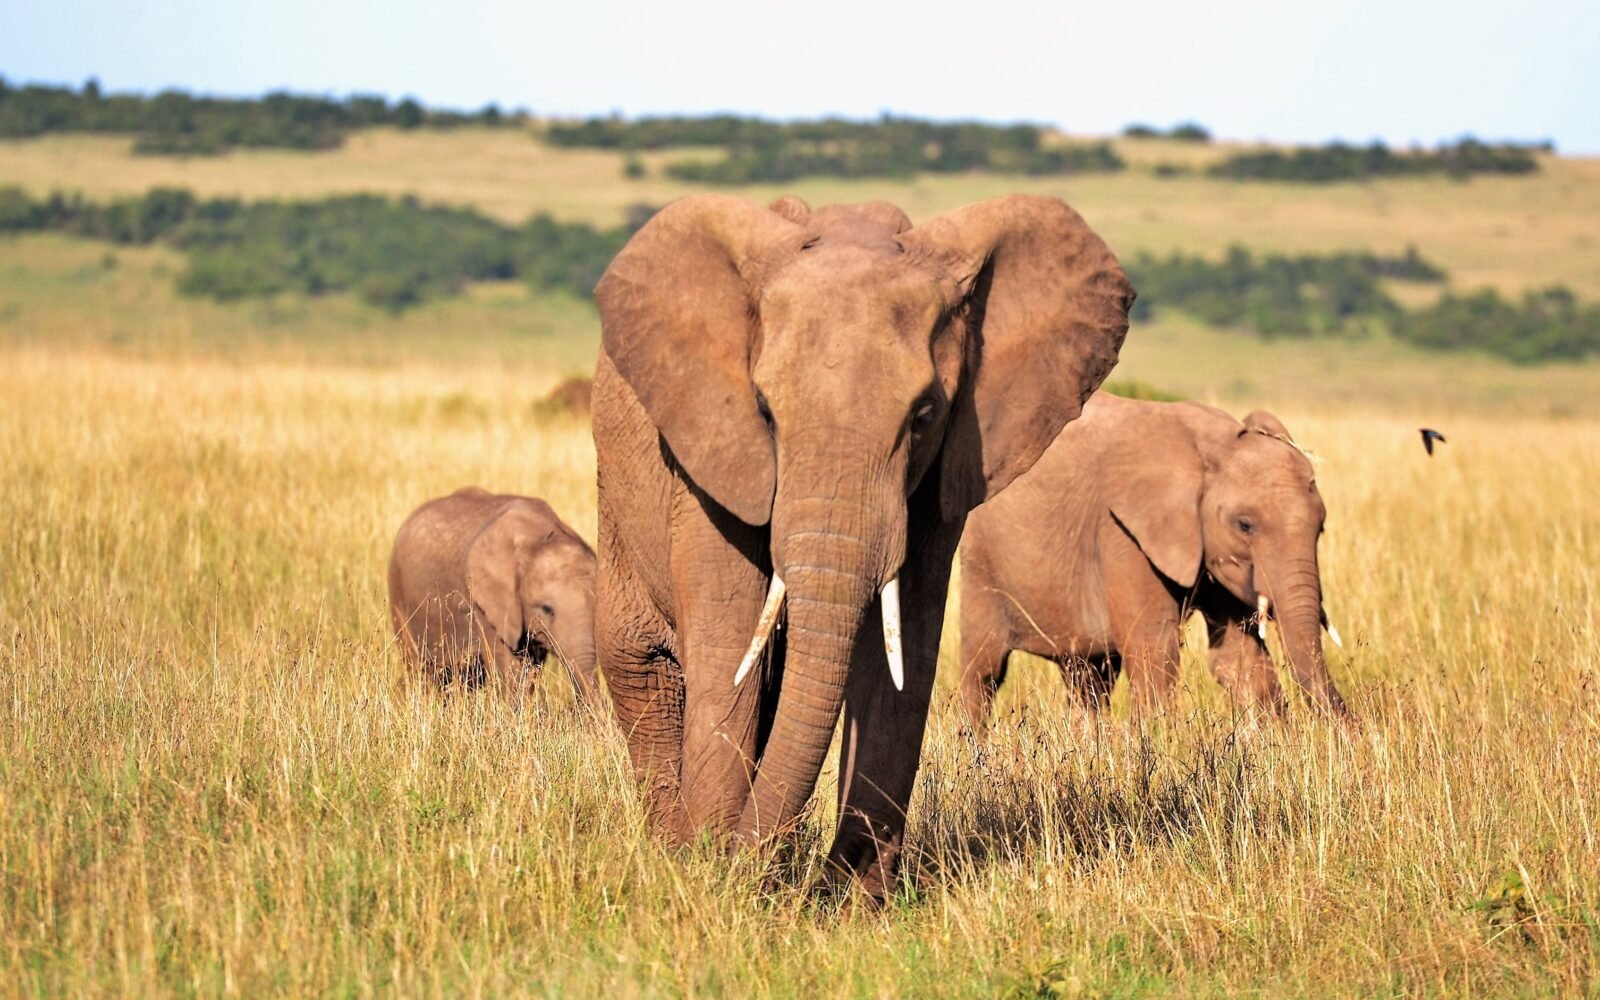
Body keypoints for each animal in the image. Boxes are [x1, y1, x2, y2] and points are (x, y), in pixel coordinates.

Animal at [590, 192, 1134, 899]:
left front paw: (852, 901)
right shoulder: (709, 456)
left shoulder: (942, 474)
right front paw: (710, 875)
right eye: (764, 410)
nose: (743, 862)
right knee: (644, 666)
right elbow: (730, 643)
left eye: (924, 415)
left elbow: (903, 654)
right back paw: (671, 851)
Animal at [957, 393, 1352, 733]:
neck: (1212, 445)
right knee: (984, 670)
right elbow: (1155, 651)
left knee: (1089, 676)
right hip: (981, 558)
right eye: (1245, 525)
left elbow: (1237, 657)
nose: (1351, 729)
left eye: (1321, 527)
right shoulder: (1122, 531)